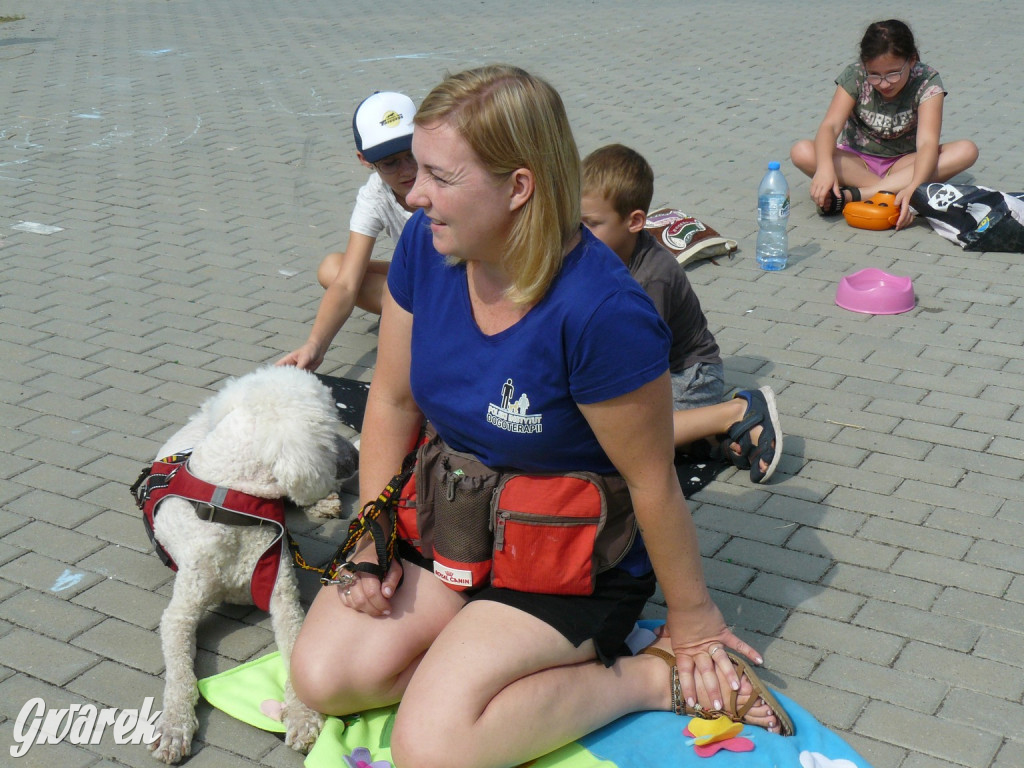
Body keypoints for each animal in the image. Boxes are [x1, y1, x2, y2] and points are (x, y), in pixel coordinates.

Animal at [138, 366, 358, 765]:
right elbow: (179, 674)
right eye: (327, 429)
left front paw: (303, 717)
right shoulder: (179, 614)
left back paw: (325, 502)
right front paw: (174, 726)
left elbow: (295, 652)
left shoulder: (284, 600)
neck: (234, 505)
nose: (354, 457)